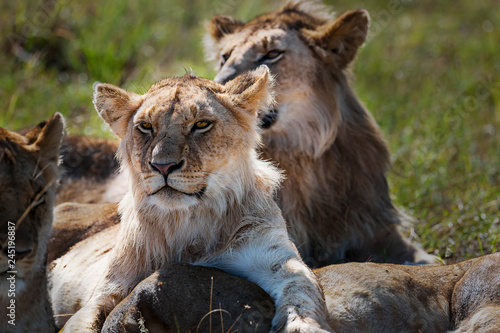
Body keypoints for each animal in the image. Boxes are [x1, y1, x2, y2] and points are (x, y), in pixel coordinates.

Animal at [48, 66, 334, 330]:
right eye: (145, 127)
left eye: (201, 124)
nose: (162, 166)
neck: (186, 222)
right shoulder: (108, 288)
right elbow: (82, 321)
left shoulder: (275, 258)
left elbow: (303, 293)